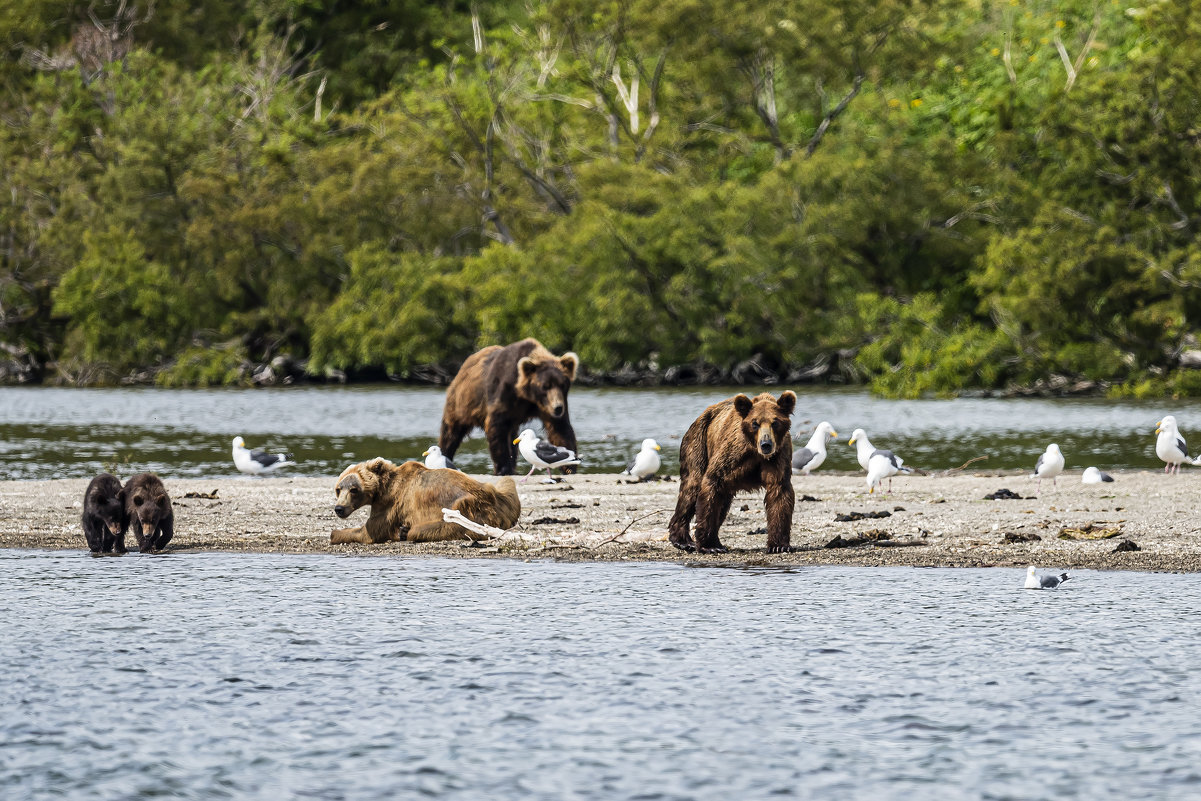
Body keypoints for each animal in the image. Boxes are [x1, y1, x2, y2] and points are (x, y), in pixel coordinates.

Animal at [329, 456, 521, 545]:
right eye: (339, 489)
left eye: (354, 489)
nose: (339, 508)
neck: (383, 488)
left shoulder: (390, 505)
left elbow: (369, 532)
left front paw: (335, 533)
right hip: (504, 496)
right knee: (508, 482)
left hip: (469, 509)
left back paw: (404, 532)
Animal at [439, 338, 578, 475]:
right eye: (545, 386)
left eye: (562, 384)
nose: (557, 407)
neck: (525, 395)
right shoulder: (503, 395)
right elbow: (497, 428)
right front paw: (504, 469)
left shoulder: (547, 405)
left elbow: (560, 428)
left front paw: (569, 466)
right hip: (461, 402)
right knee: (451, 431)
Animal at [667, 391, 797, 554]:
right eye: (755, 423)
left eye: (775, 422)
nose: (766, 444)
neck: (755, 450)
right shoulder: (733, 455)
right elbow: (712, 482)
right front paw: (709, 546)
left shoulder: (777, 458)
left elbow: (779, 492)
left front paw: (778, 545)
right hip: (698, 444)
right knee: (692, 488)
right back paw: (683, 541)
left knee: (722, 504)